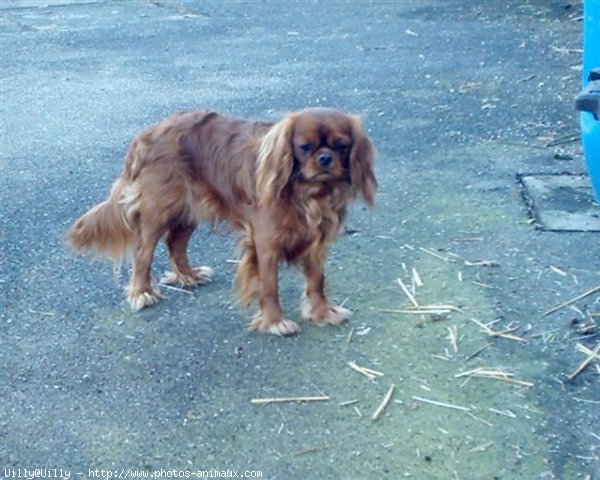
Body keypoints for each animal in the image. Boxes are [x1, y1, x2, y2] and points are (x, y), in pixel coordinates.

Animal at [69, 107, 376, 336]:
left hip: (190, 209)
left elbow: (316, 280)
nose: (324, 158)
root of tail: (148, 132)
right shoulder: (266, 242)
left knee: (175, 243)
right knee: (143, 253)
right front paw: (275, 322)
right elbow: (270, 285)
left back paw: (188, 275)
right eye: (304, 147)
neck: (308, 193)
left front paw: (322, 313)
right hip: (159, 210)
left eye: (341, 145)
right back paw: (142, 293)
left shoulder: (316, 240)